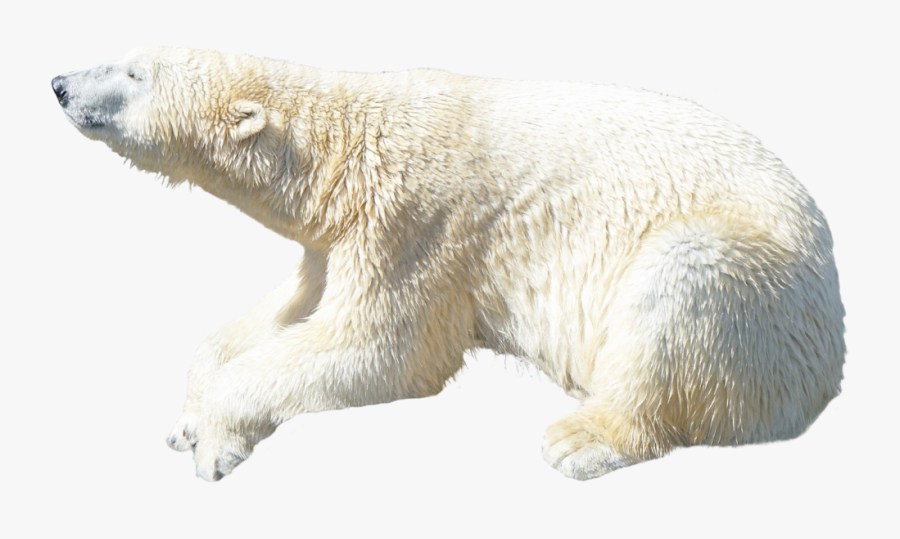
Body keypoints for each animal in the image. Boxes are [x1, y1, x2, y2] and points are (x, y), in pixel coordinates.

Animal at [53, 47, 845, 482]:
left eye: (134, 71)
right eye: (126, 53)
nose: (59, 84)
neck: (341, 147)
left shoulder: (415, 223)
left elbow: (385, 349)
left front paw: (217, 444)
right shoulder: (338, 239)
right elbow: (288, 312)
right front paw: (187, 418)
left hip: (756, 288)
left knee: (679, 285)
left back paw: (581, 437)